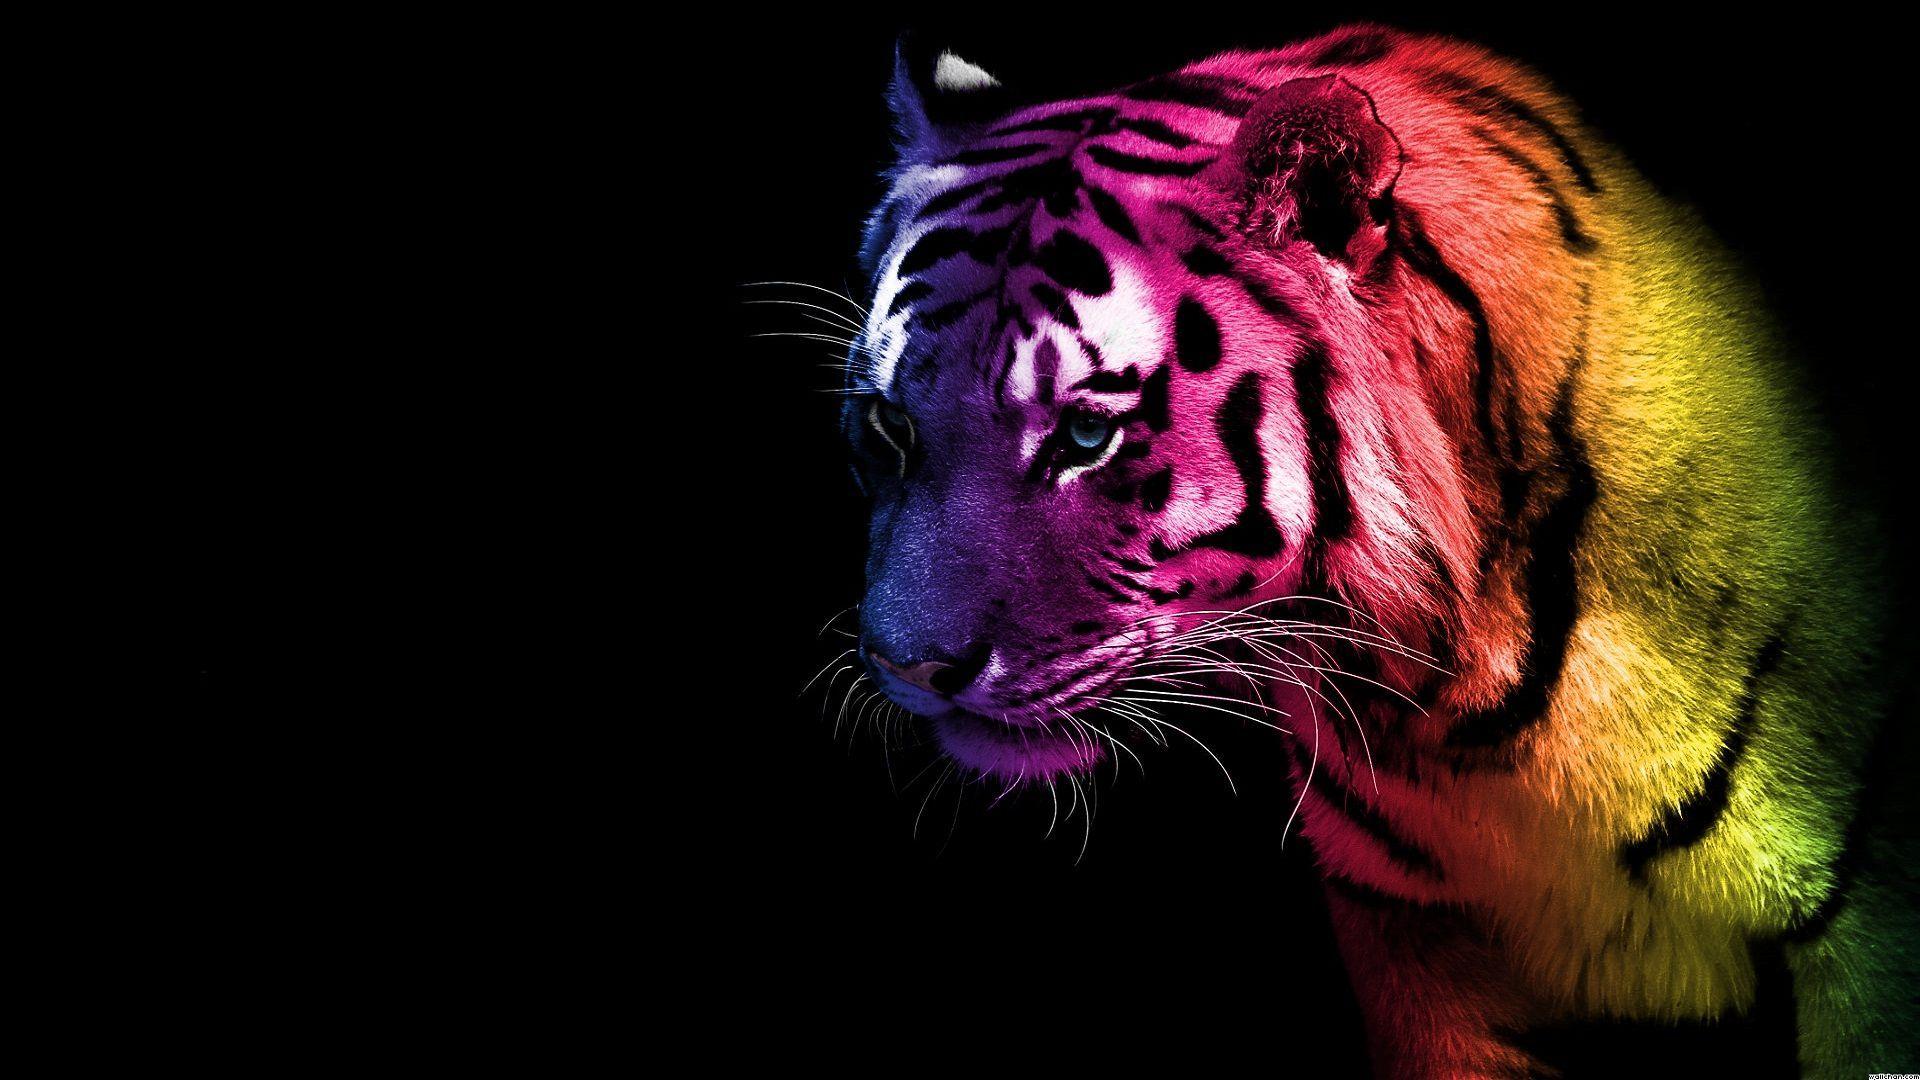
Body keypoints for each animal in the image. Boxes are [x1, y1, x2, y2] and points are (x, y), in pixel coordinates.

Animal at [829, 24, 1915, 1078]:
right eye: (890, 426)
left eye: (1086, 435)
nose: (907, 667)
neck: (1459, 708)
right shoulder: (1409, 934)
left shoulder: (1867, 918)